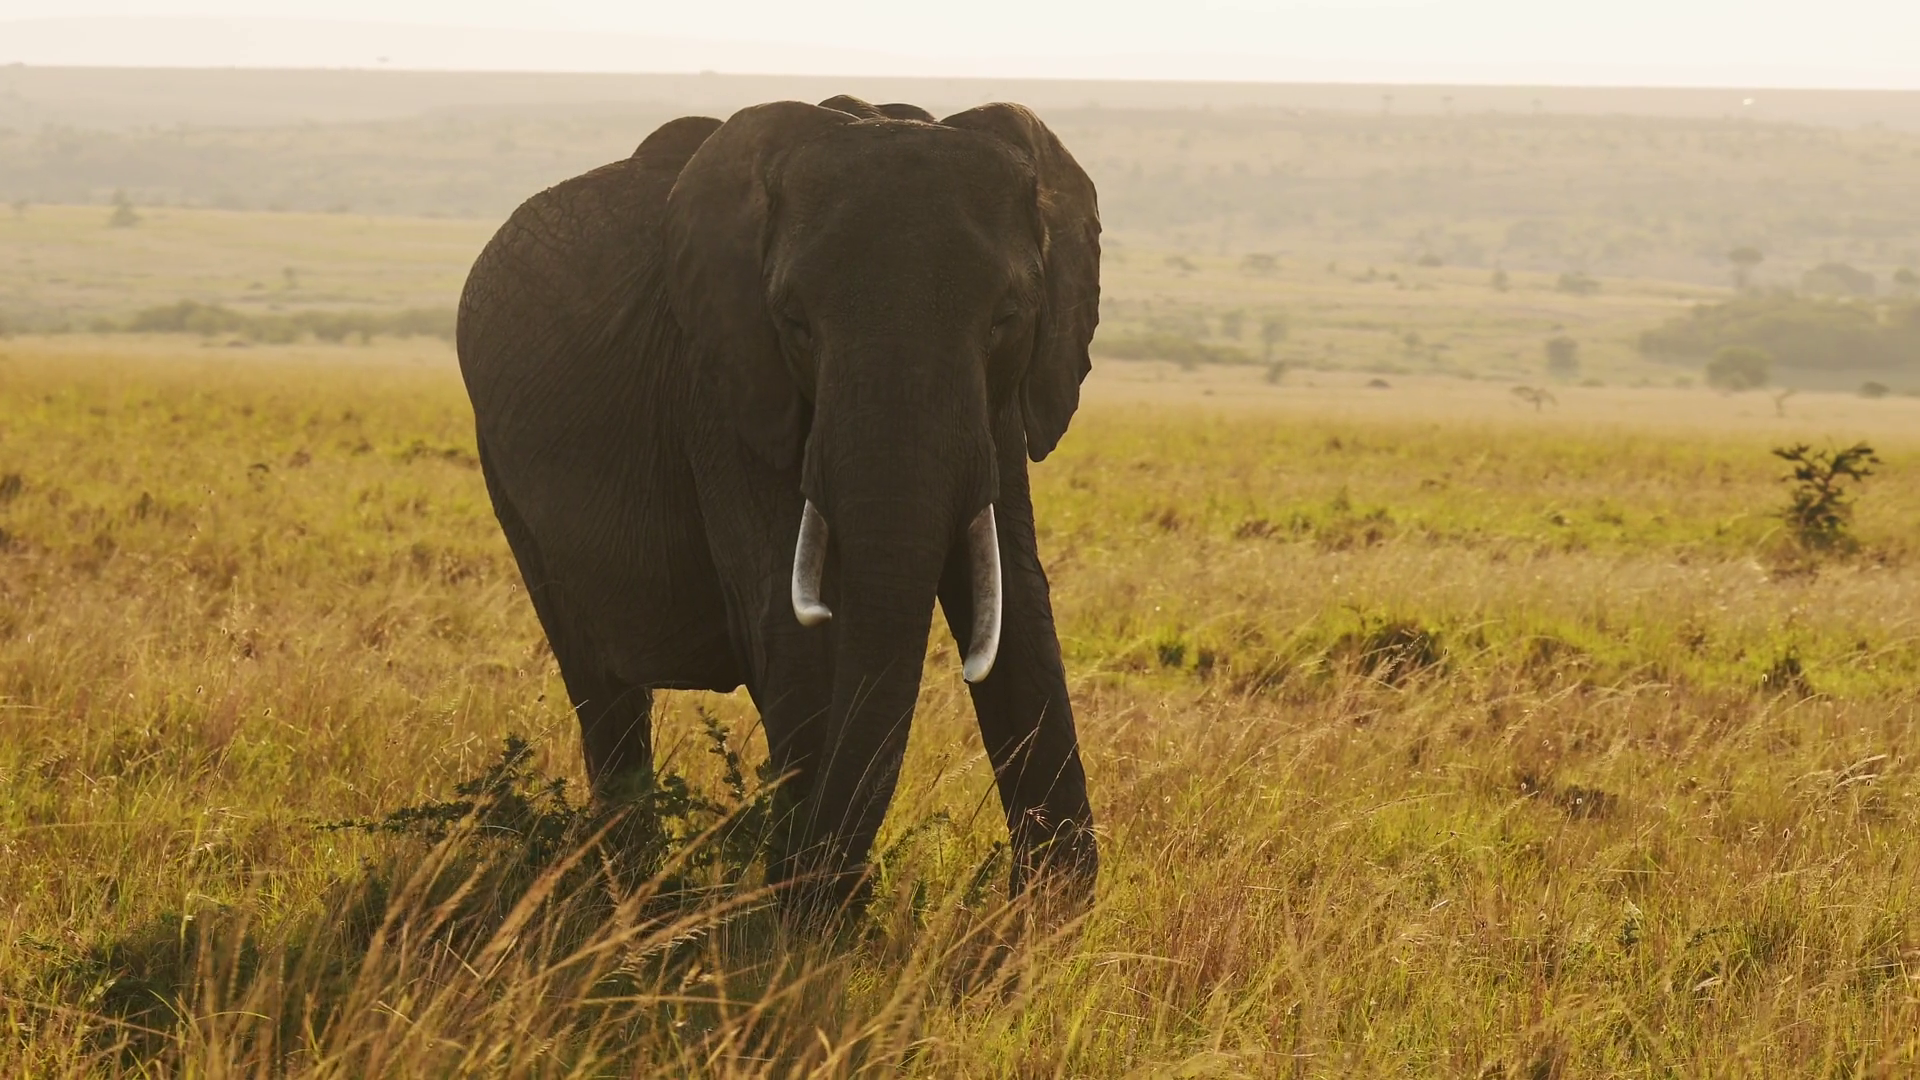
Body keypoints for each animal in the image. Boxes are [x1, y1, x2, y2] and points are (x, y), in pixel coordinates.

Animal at [454, 93, 1101, 918]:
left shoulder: (1006, 405)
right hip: (500, 462)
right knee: (595, 678)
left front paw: (1048, 923)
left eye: (1006, 320)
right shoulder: (723, 385)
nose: (823, 895)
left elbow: (1018, 609)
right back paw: (623, 890)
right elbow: (791, 631)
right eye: (794, 323)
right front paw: (811, 925)